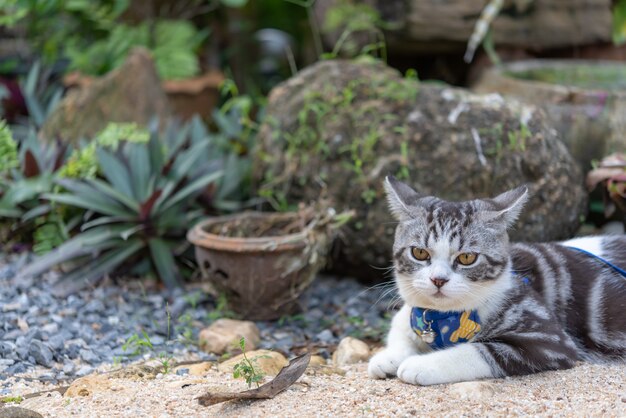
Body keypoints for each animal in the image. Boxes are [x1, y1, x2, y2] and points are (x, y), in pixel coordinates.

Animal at [366, 176, 624, 386]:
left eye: (467, 258)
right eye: (419, 253)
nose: (438, 279)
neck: (443, 319)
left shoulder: (549, 338)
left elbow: (480, 351)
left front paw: (421, 364)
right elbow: (400, 325)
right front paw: (389, 356)